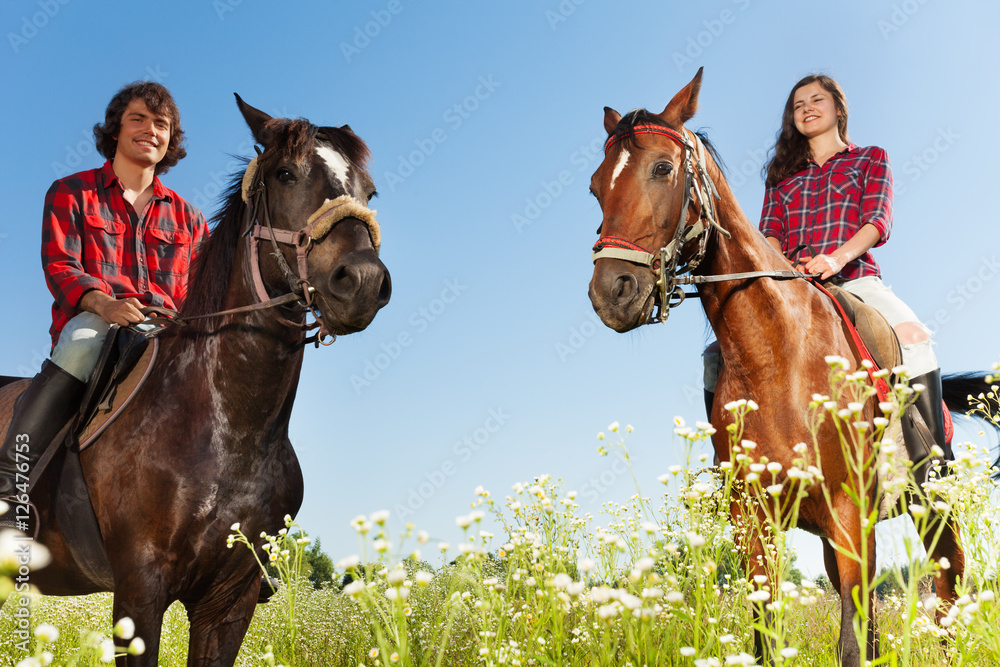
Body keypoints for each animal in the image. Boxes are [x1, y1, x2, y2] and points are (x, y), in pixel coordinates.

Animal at [0, 96, 390, 664]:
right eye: (285, 174)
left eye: (369, 192)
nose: (362, 281)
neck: (229, 429)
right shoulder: (139, 592)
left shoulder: (229, 602)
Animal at [584, 69, 992, 667]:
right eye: (595, 187)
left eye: (661, 168)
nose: (611, 293)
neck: (778, 357)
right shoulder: (756, 522)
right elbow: (767, 640)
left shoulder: (850, 513)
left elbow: (851, 645)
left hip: (930, 505)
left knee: (948, 587)